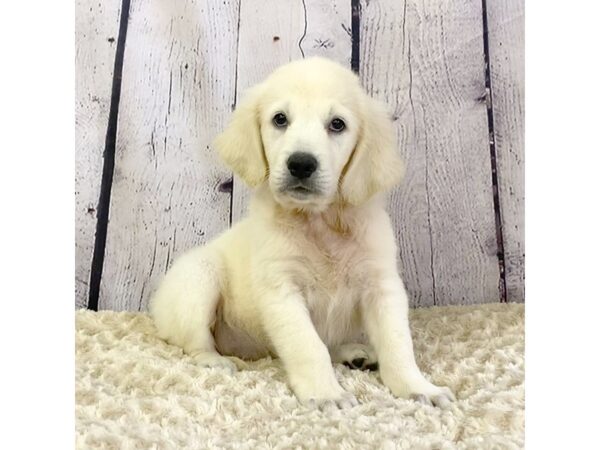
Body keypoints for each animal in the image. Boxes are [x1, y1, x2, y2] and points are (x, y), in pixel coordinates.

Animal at [151, 56, 454, 408]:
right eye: (280, 119)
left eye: (337, 124)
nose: (301, 164)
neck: (319, 222)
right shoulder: (282, 289)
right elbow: (308, 346)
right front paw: (326, 394)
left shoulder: (382, 286)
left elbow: (397, 344)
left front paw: (418, 387)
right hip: (198, 279)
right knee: (194, 343)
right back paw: (216, 360)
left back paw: (353, 353)